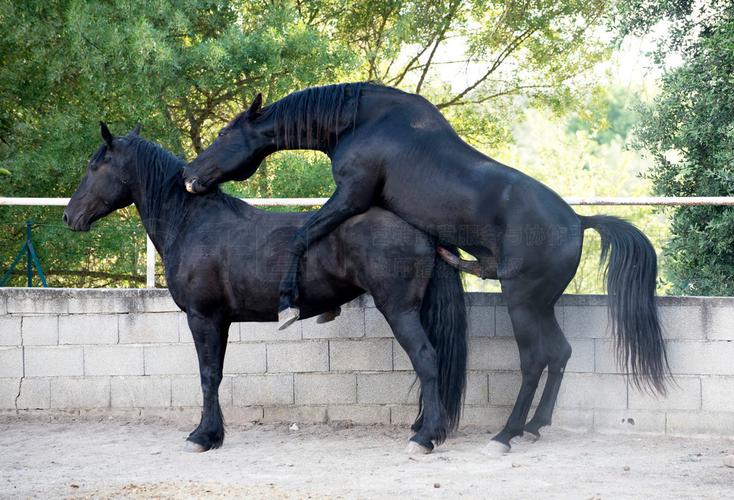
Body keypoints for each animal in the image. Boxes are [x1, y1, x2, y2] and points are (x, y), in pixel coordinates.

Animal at [64, 123, 468, 454]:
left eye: (95, 166)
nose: (70, 216)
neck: (193, 223)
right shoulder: (221, 321)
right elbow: (216, 373)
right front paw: (212, 434)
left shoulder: (203, 317)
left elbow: (208, 375)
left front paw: (202, 437)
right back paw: (421, 427)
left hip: (398, 309)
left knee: (426, 359)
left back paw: (425, 438)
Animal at [182, 82, 671, 455]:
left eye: (225, 133)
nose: (189, 174)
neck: (364, 120)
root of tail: (577, 221)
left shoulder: (351, 196)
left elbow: (304, 235)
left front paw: (290, 304)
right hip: (541, 305)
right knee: (560, 353)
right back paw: (534, 426)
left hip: (522, 303)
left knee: (535, 359)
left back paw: (505, 434)